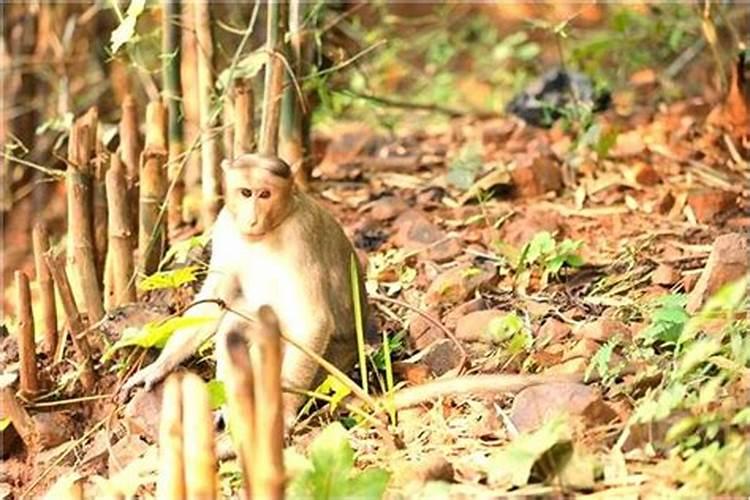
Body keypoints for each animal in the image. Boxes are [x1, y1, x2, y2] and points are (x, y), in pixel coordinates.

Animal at [119, 151, 372, 426]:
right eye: (246, 192)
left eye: (265, 194)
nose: (252, 219)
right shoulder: (225, 225)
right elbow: (214, 300)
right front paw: (159, 367)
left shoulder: (300, 235)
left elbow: (313, 321)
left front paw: (286, 408)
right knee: (234, 327)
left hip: (330, 368)